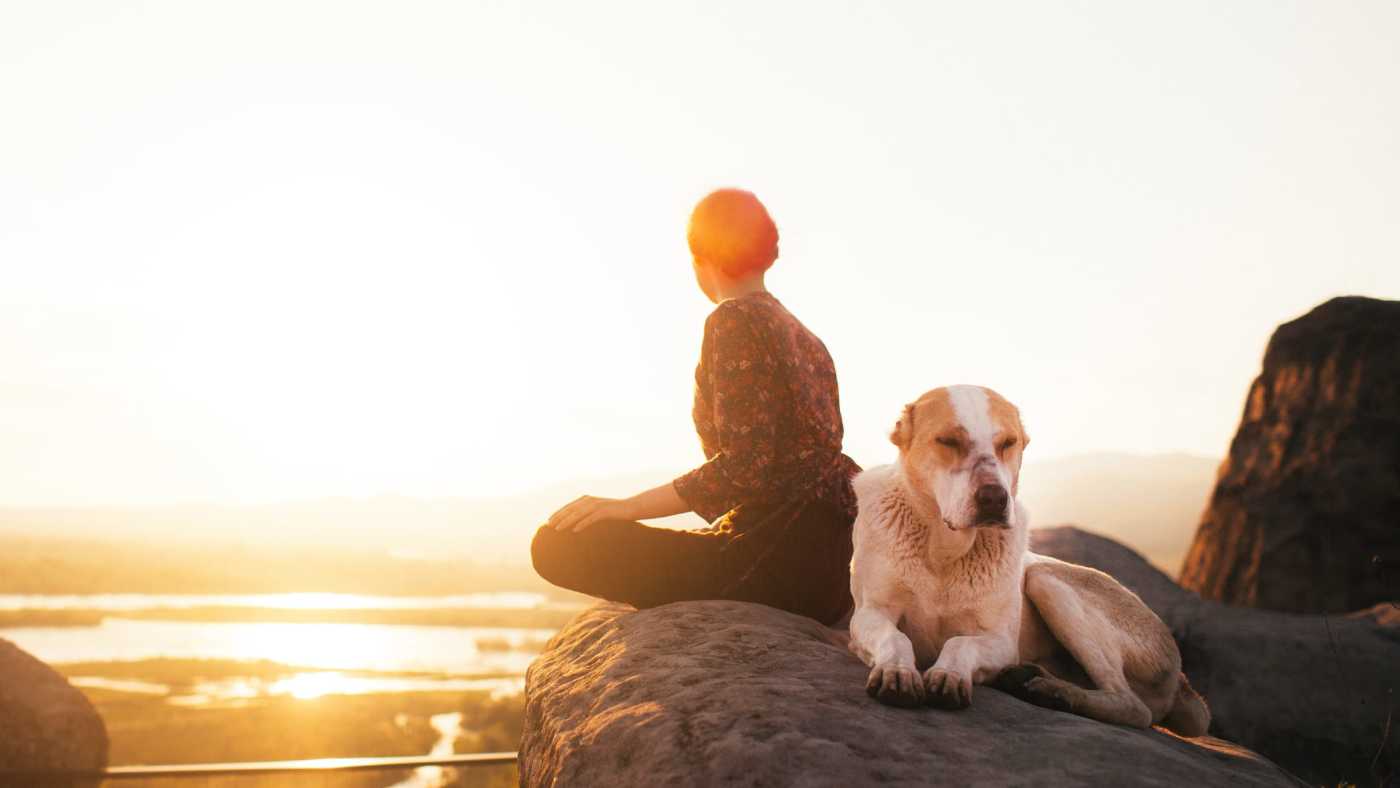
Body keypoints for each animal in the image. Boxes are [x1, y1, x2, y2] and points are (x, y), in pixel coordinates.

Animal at [845, 386, 1209, 739]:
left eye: (1008, 443)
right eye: (948, 440)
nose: (994, 498)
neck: (945, 549)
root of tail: (1183, 681)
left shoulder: (1000, 642)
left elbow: (960, 643)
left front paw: (949, 673)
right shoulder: (869, 614)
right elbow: (895, 638)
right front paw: (897, 670)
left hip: (1045, 579)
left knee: (1133, 706)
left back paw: (1055, 692)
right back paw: (1031, 678)